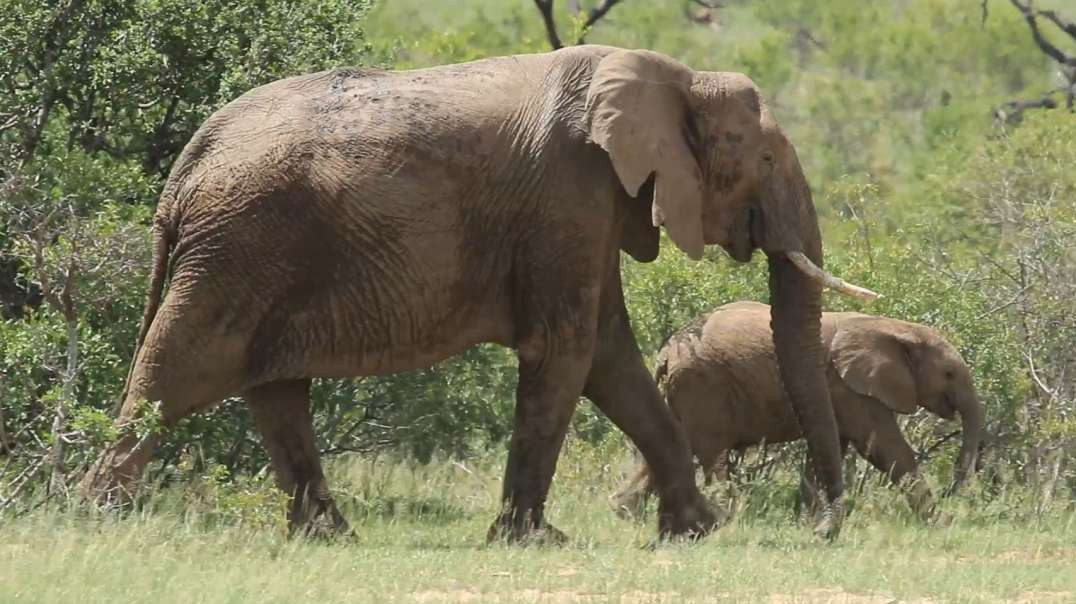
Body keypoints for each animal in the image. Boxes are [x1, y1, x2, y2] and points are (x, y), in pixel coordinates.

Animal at [81, 44, 873, 538]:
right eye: (764, 159)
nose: (823, 524)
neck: (672, 74)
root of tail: (188, 162)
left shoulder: (591, 210)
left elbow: (608, 355)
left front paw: (698, 532)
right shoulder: (568, 197)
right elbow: (566, 350)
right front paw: (535, 541)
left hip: (253, 254)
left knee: (275, 393)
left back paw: (331, 539)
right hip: (239, 247)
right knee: (175, 371)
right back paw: (91, 514)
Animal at [611, 299, 981, 518]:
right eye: (949, 373)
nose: (954, 492)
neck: (893, 326)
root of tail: (666, 352)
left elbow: (832, 448)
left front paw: (808, 517)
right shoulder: (848, 387)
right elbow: (883, 445)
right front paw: (940, 521)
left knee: (663, 449)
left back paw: (622, 513)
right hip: (703, 385)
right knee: (711, 452)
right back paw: (728, 515)